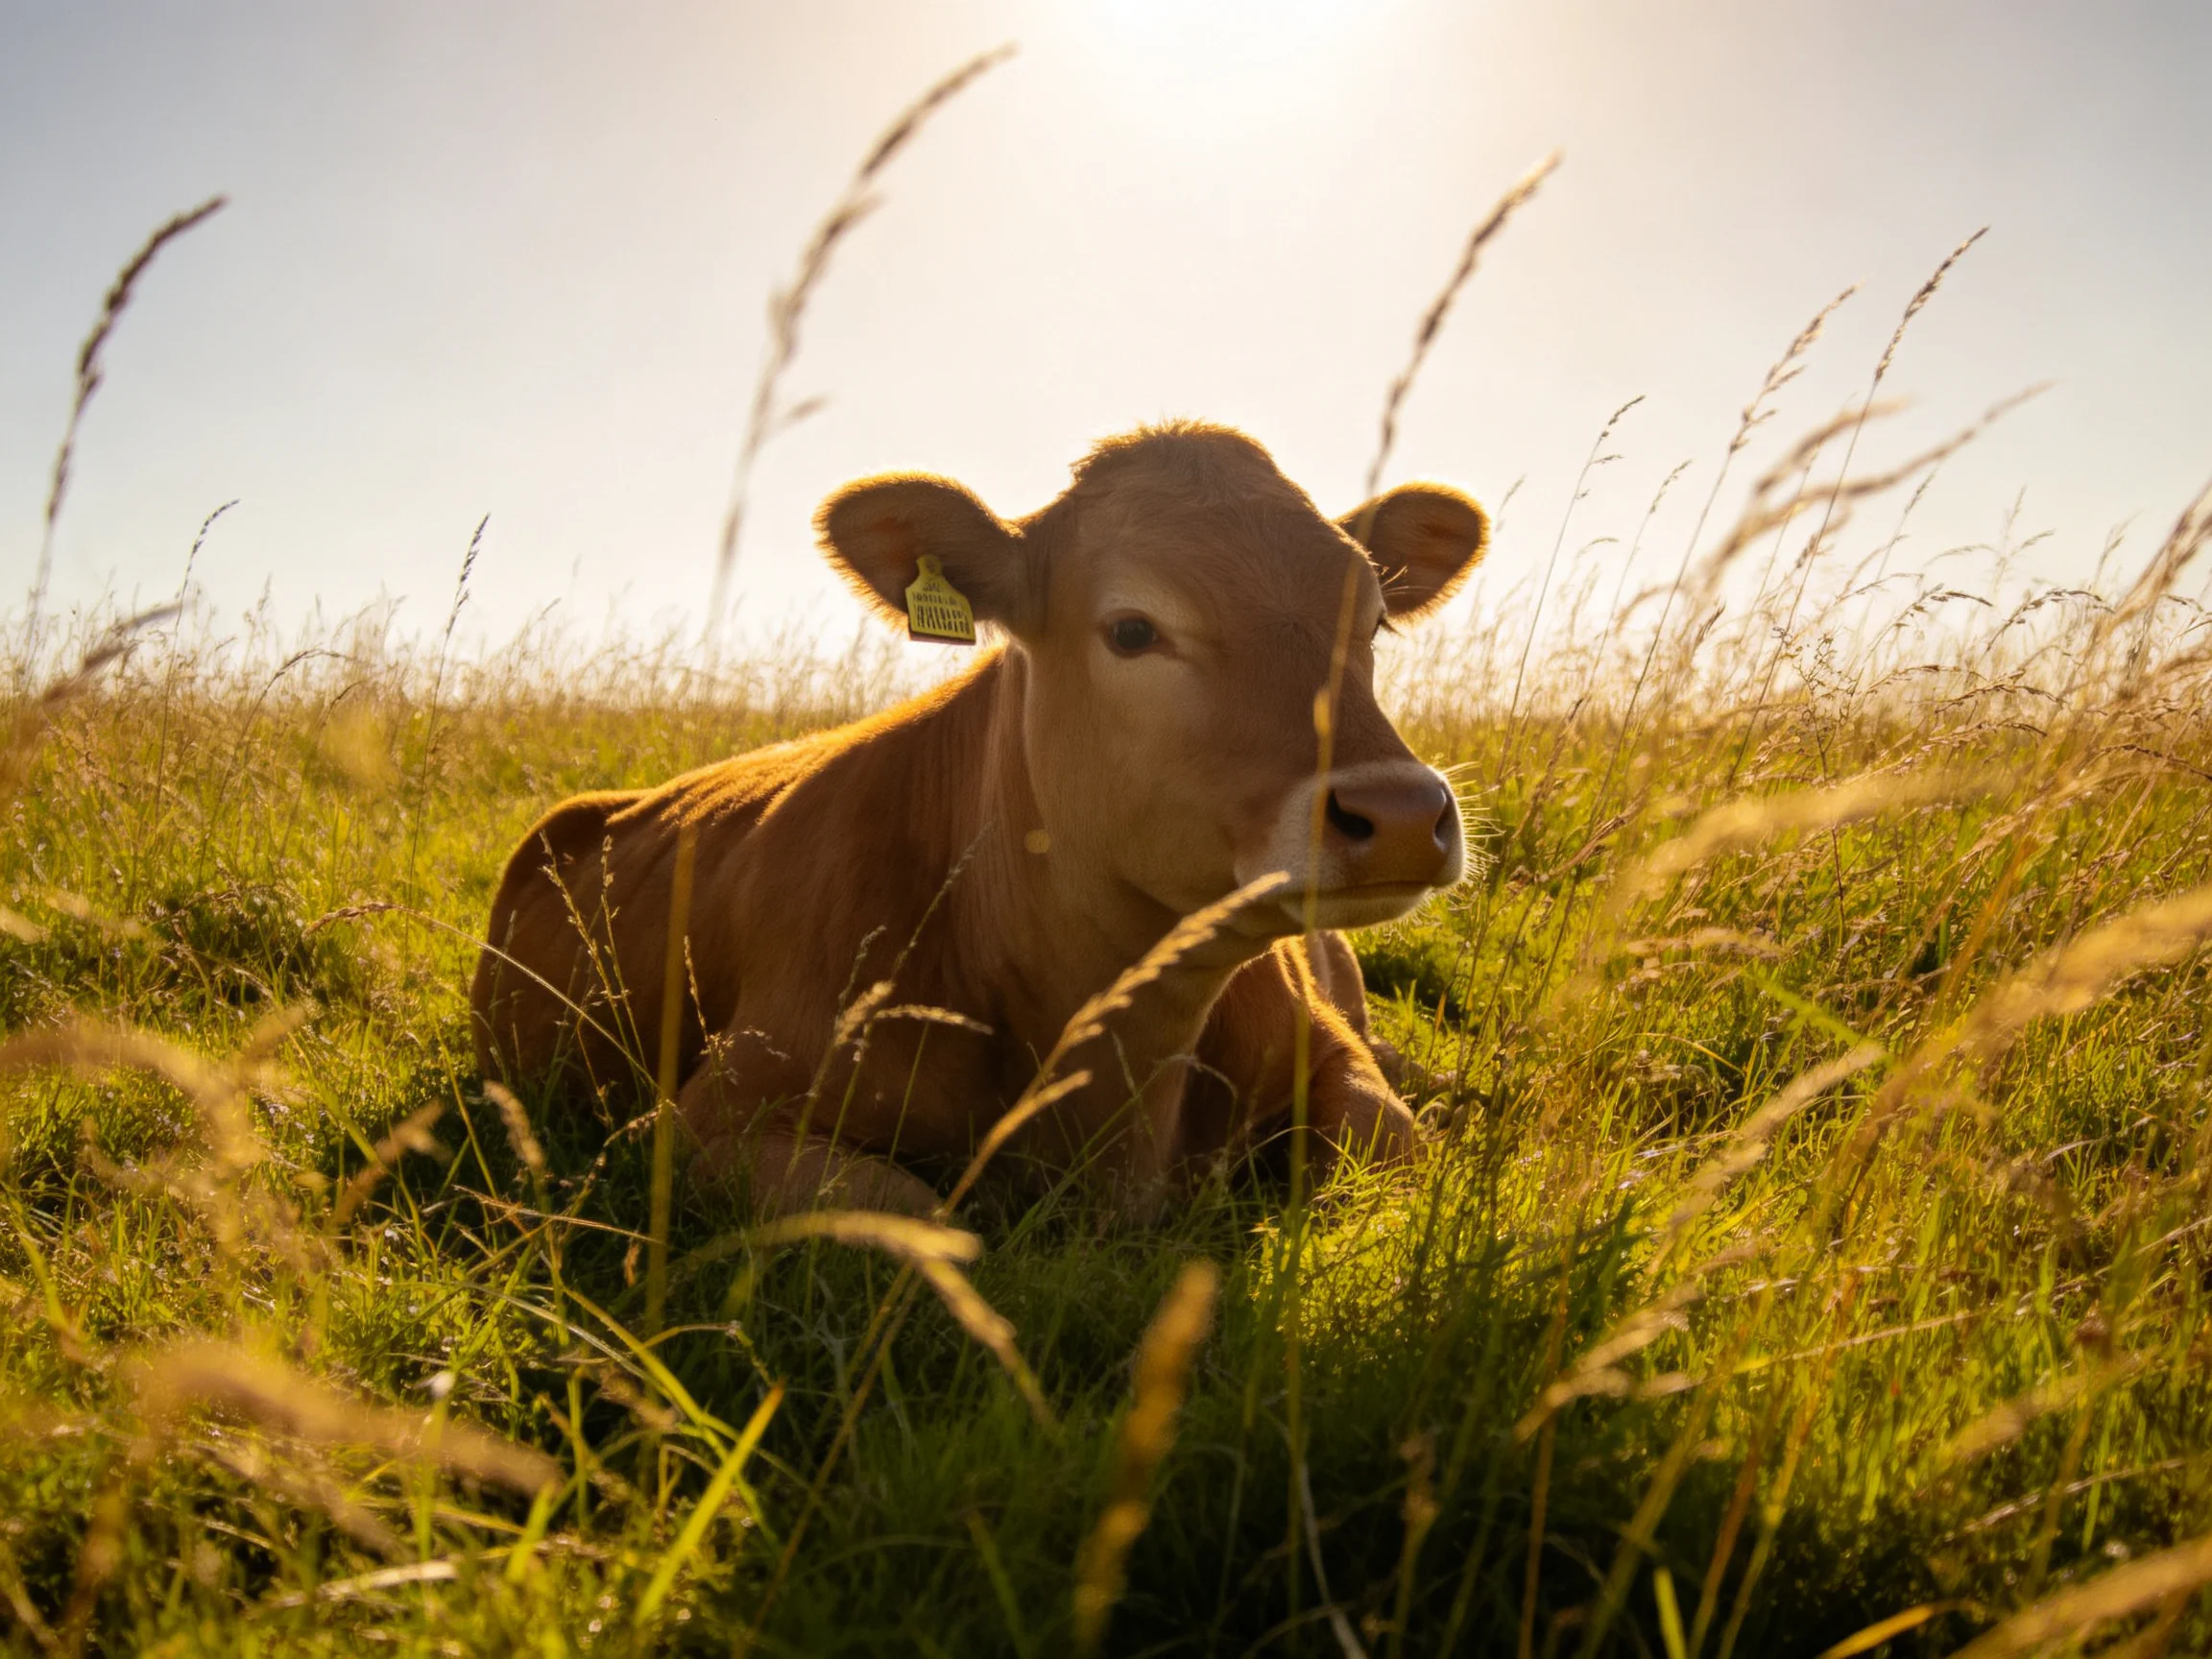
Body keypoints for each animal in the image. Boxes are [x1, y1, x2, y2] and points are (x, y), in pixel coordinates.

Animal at [470, 421, 1487, 1219]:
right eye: (1132, 630)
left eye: (1375, 621)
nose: (1401, 812)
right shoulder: (703, 1122)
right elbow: (923, 1219)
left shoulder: (1333, 1061)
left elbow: (1392, 1145)